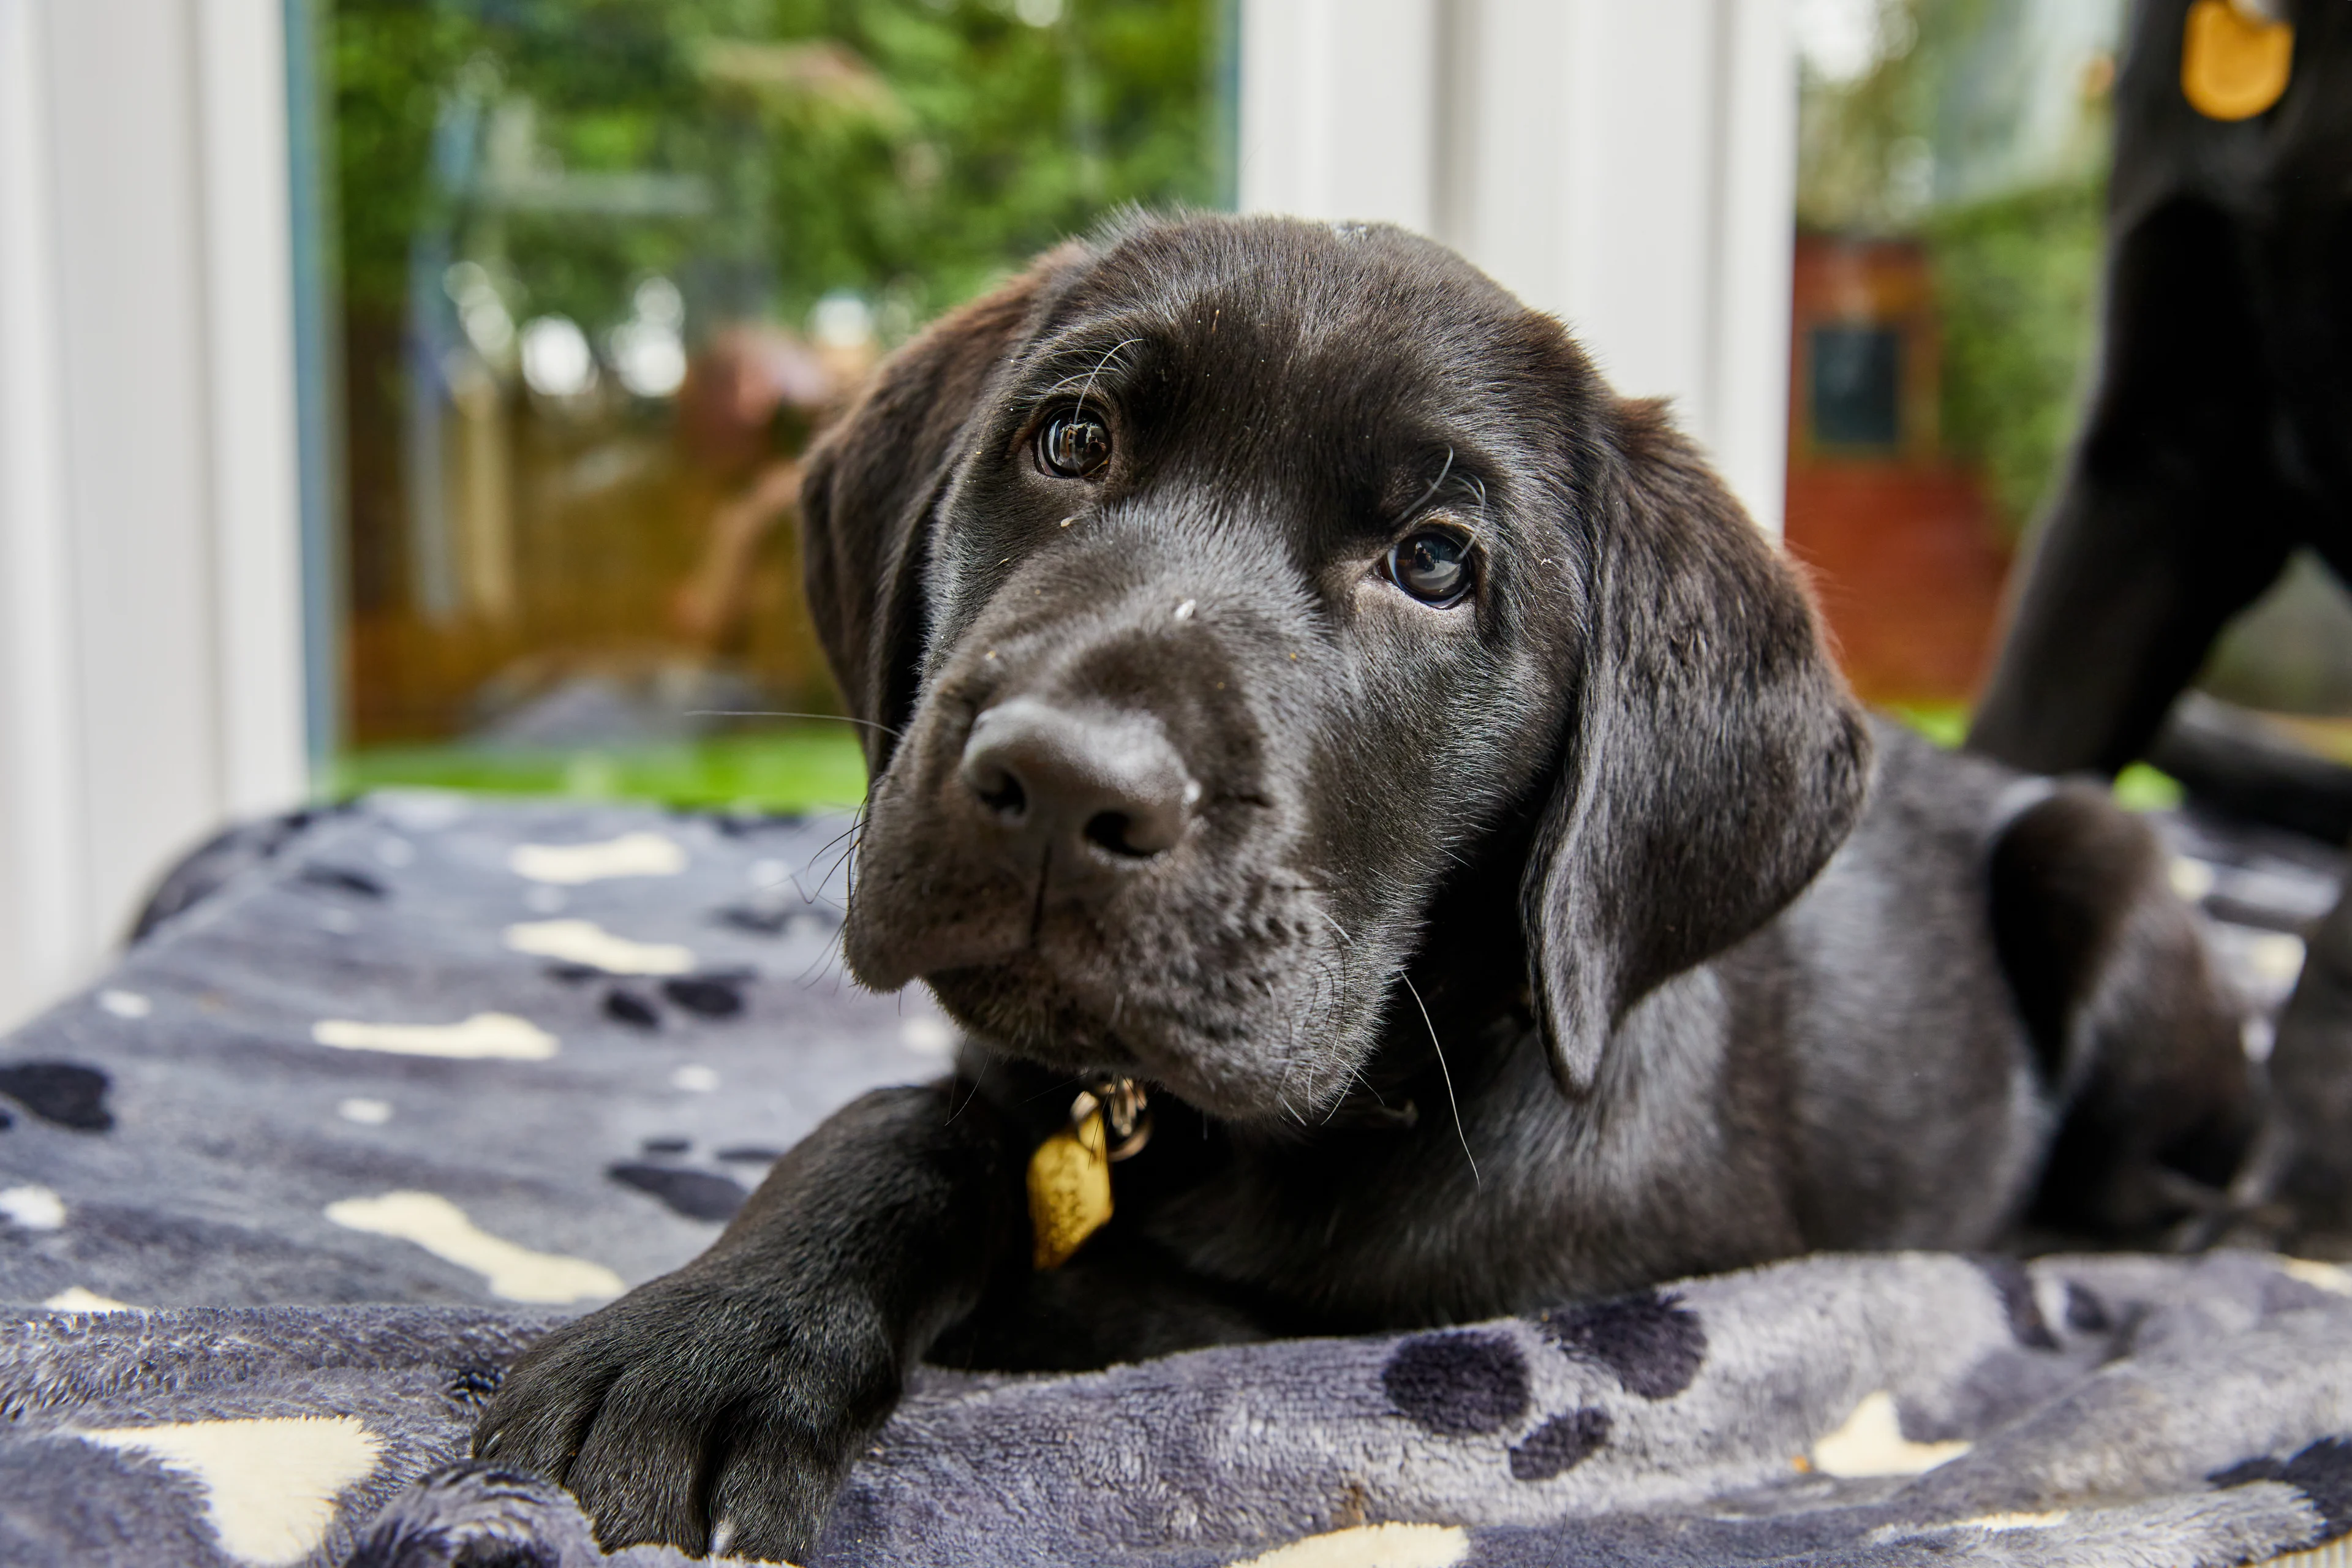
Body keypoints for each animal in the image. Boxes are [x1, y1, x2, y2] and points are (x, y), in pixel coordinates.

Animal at [468, 215, 2248, 1561]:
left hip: (2103, 864)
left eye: (1437, 562)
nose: (1065, 786)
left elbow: (1140, 1301)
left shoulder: (1431, 1321)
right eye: (1070, 440)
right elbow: (904, 1127)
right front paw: (712, 1344)